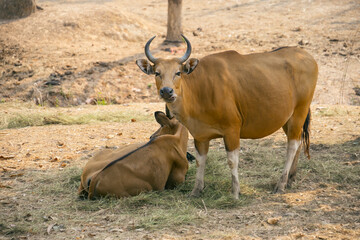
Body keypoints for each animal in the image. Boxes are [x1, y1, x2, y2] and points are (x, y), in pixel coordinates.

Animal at [136, 34, 318, 199]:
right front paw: (196, 190)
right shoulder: (200, 136)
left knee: (292, 145)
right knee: (298, 141)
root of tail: (307, 56)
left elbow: (232, 160)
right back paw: (291, 178)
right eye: (157, 73)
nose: (167, 91)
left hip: (299, 112)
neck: (199, 90)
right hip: (287, 119)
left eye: (178, 72)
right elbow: (200, 161)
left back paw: (281, 184)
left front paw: (235, 192)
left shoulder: (232, 130)